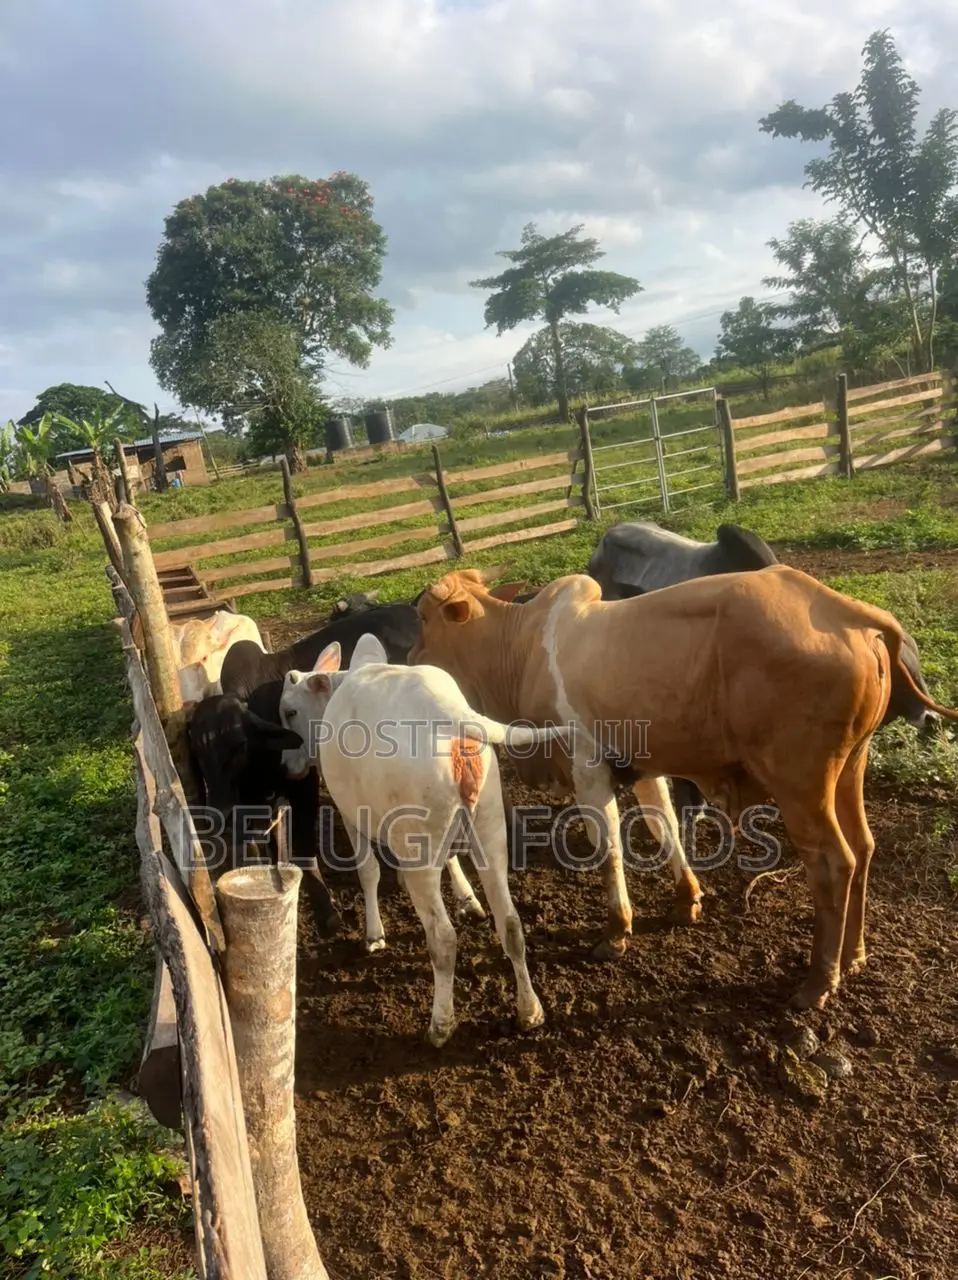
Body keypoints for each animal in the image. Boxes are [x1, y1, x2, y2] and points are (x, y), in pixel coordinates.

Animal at [278, 633, 559, 1045]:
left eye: (290, 712)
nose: (286, 766)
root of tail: (447, 715)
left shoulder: (352, 814)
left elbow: (368, 873)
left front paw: (374, 934)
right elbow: (453, 863)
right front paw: (467, 898)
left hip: (419, 852)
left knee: (442, 938)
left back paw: (440, 1025)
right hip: (488, 831)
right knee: (510, 924)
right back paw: (530, 1012)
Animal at [410, 565, 958, 1011]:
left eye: (423, 620)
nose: (411, 656)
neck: (525, 646)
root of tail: (847, 612)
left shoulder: (587, 765)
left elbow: (608, 848)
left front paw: (617, 931)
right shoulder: (643, 765)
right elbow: (664, 825)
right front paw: (685, 899)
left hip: (800, 782)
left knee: (833, 862)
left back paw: (819, 981)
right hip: (850, 766)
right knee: (863, 848)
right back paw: (855, 956)